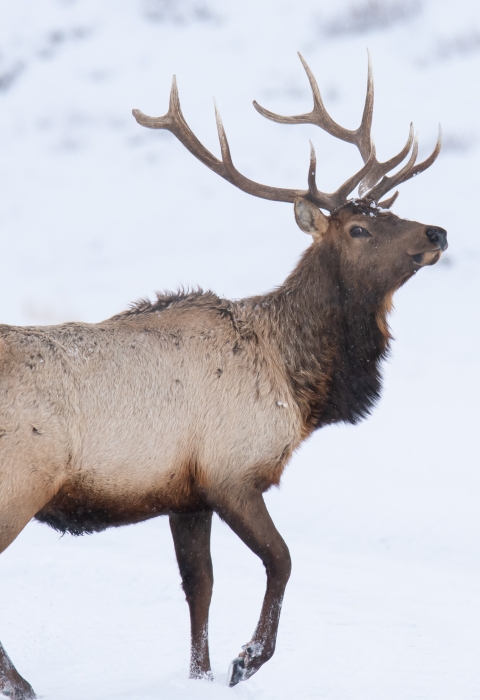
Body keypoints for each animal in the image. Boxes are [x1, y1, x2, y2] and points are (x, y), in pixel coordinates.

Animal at [0, 52, 446, 698]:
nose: (437, 232)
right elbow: (281, 559)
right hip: (20, 480)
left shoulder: (185, 493)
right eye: (358, 229)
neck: (298, 384)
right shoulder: (231, 471)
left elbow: (199, 588)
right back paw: (24, 684)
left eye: (387, 212)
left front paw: (202, 672)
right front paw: (247, 659)